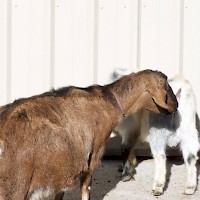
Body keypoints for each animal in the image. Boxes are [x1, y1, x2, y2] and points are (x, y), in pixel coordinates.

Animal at [0, 69, 178, 199]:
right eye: (166, 87)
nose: (176, 105)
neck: (109, 102)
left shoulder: (65, 169)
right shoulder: (93, 156)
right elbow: (86, 189)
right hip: (15, 187)